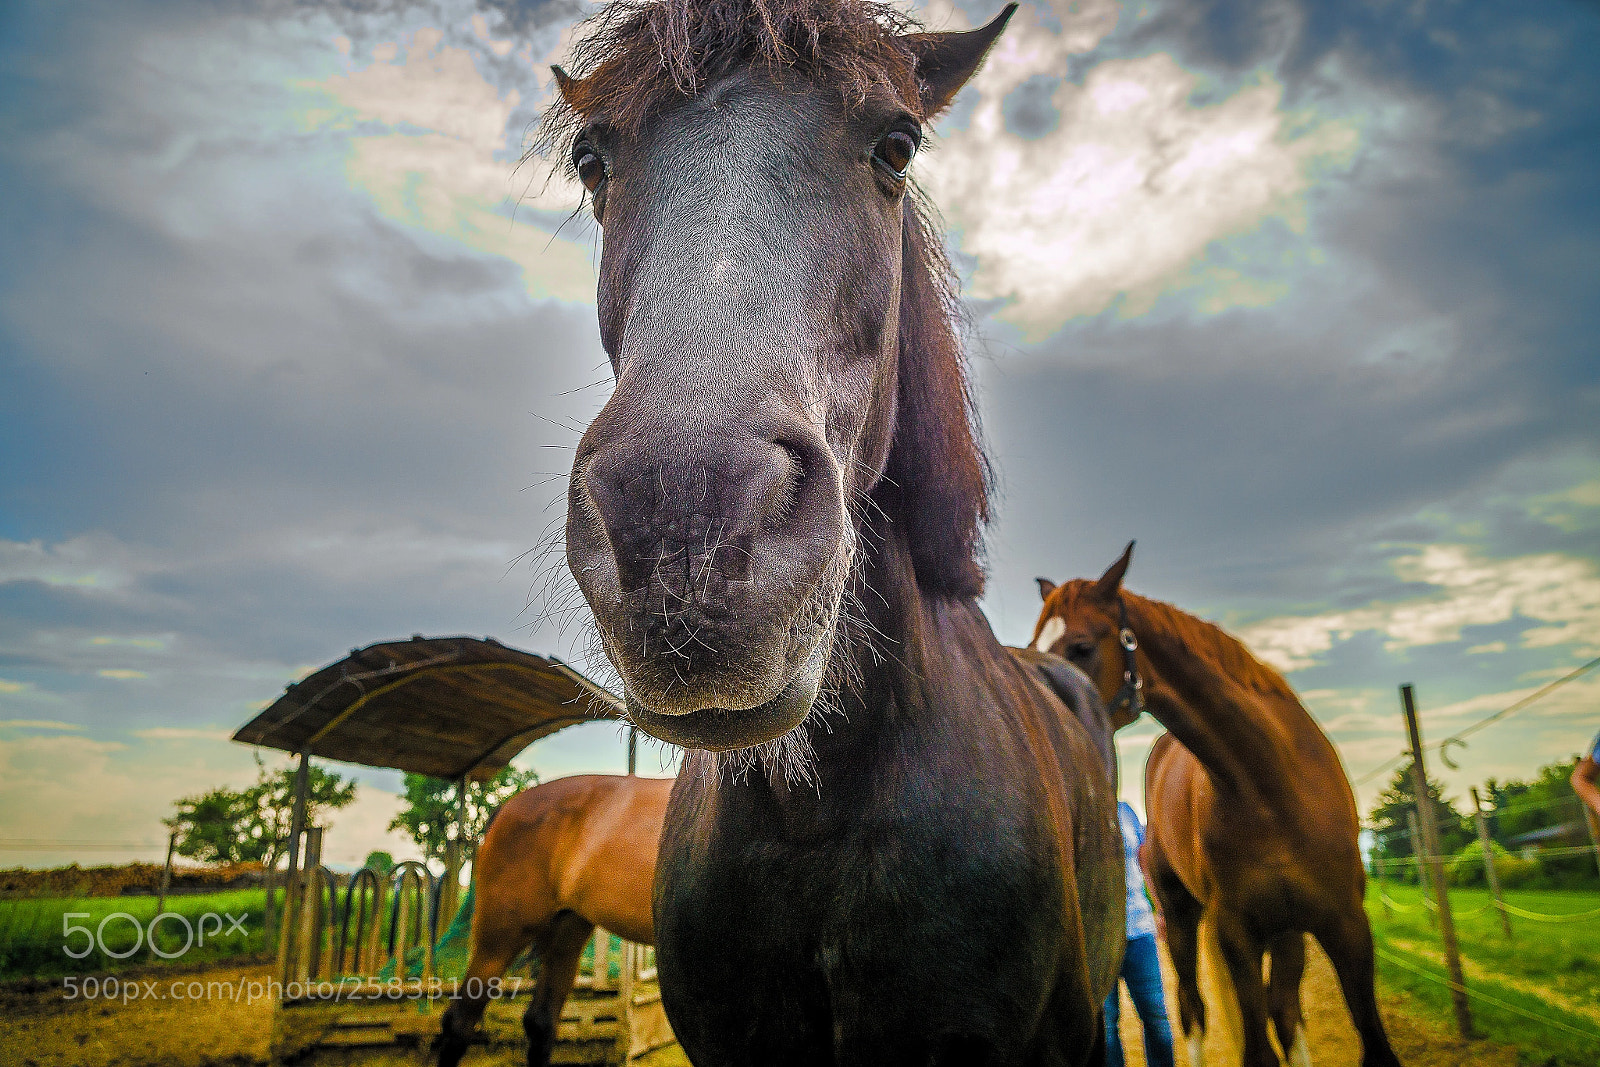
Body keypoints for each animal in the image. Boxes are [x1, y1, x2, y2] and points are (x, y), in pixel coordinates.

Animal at [1031, 544, 1401, 1067]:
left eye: (1081, 647)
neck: (1270, 786)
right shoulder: (1235, 935)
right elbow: (1256, 1049)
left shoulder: (1346, 925)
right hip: (1181, 920)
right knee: (1192, 1009)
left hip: (1286, 933)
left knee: (1284, 1013)